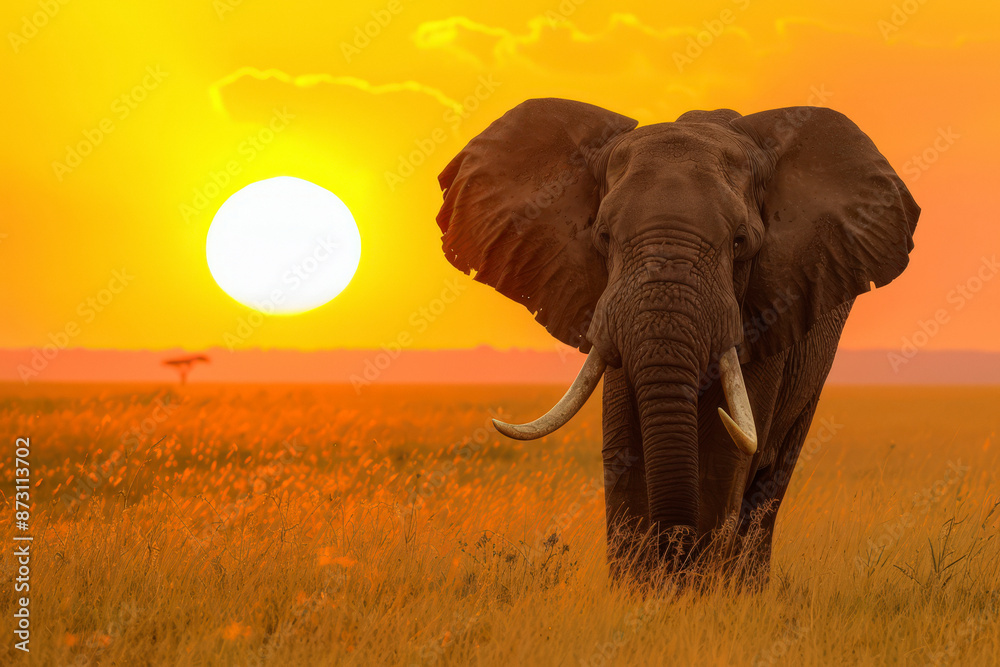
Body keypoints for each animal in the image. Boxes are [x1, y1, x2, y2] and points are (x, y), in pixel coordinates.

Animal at [433, 98, 919, 583]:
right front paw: (639, 589)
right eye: (603, 236)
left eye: (740, 242)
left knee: (773, 476)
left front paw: (696, 589)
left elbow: (726, 450)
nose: (674, 553)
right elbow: (623, 447)